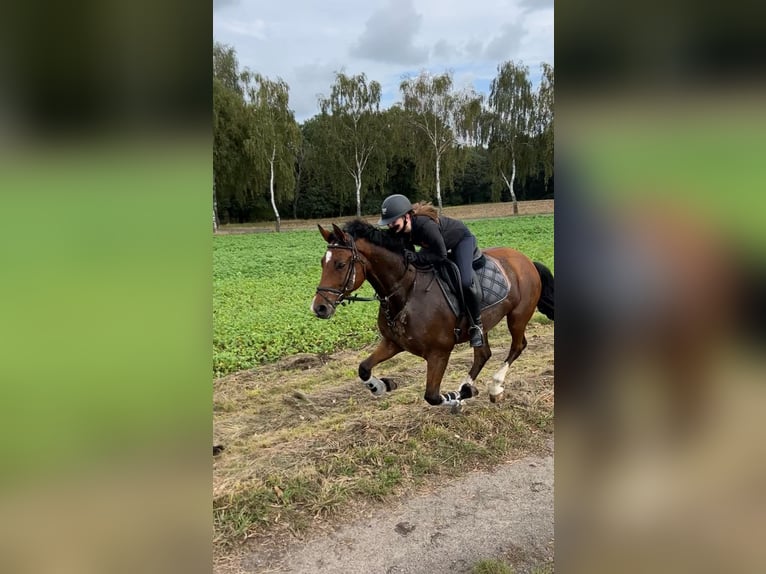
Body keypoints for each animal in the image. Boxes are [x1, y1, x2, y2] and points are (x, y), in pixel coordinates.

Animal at [308, 218, 556, 412]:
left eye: (340, 264)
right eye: (321, 262)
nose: (319, 307)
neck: (406, 292)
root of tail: (526, 260)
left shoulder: (439, 353)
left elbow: (433, 396)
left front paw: (458, 398)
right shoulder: (393, 343)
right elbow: (364, 368)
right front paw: (381, 386)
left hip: (518, 316)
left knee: (517, 346)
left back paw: (493, 387)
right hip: (482, 327)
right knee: (483, 354)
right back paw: (467, 386)